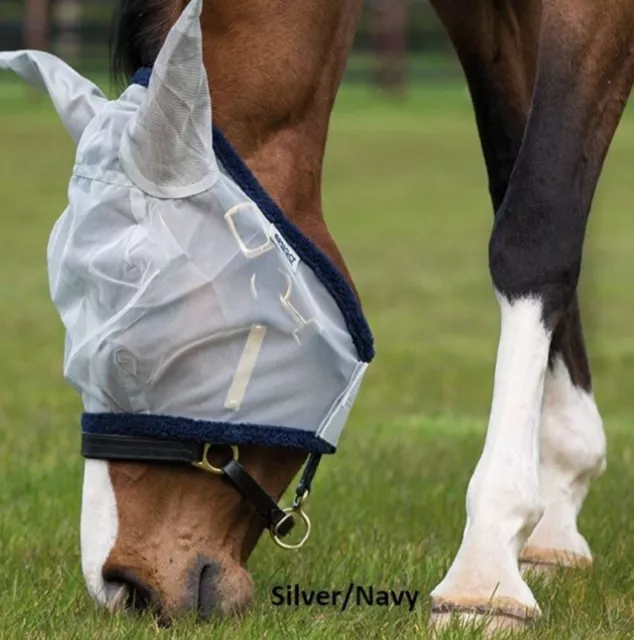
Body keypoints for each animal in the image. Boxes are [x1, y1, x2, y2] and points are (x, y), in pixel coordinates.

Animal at [4, 0, 632, 632]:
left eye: (144, 351)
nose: (121, 586)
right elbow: (515, 176)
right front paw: (557, 509)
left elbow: (537, 222)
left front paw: (484, 573)